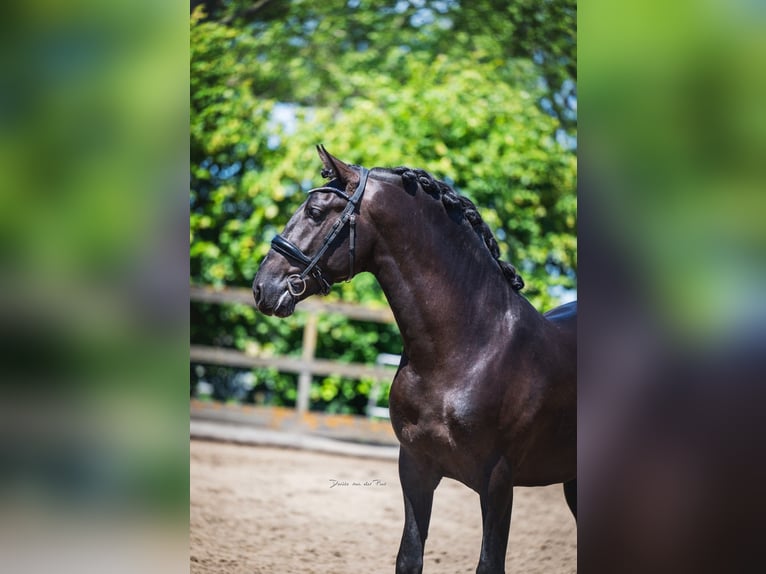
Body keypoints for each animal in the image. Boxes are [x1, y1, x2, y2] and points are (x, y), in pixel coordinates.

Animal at [253, 146, 576, 573]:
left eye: (316, 212)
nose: (262, 287)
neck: (466, 350)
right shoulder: (415, 469)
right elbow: (409, 556)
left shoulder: (498, 483)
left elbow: (489, 563)